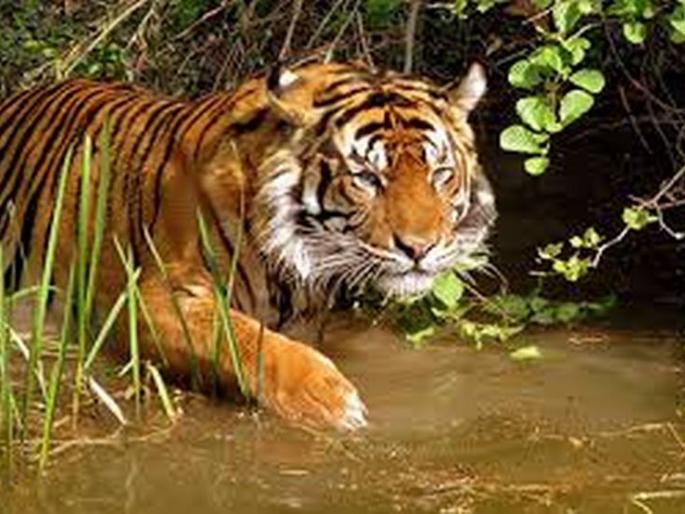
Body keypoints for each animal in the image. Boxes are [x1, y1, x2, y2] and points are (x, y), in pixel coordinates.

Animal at [0, 61, 496, 430]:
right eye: (367, 177)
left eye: (440, 174)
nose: (420, 248)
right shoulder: (146, 298)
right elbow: (246, 339)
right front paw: (332, 401)